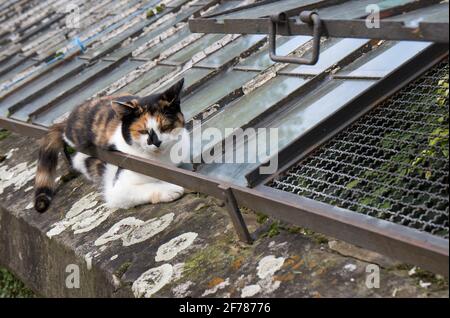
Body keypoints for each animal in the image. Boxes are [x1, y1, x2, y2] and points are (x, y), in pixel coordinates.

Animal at [33, 79, 188, 214]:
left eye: (166, 127)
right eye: (142, 131)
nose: (156, 142)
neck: (161, 160)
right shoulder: (117, 189)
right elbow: (143, 188)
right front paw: (170, 190)